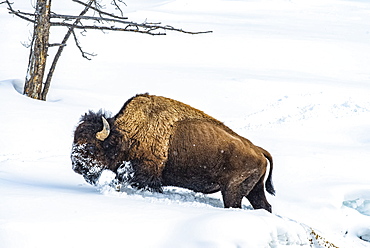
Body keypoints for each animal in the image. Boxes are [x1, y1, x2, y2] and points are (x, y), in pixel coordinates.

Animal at [71, 94, 274, 212]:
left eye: (90, 147)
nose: (76, 166)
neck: (126, 135)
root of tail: (258, 150)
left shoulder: (147, 176)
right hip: (254, 189)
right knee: (265, 205)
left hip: (232, 192)